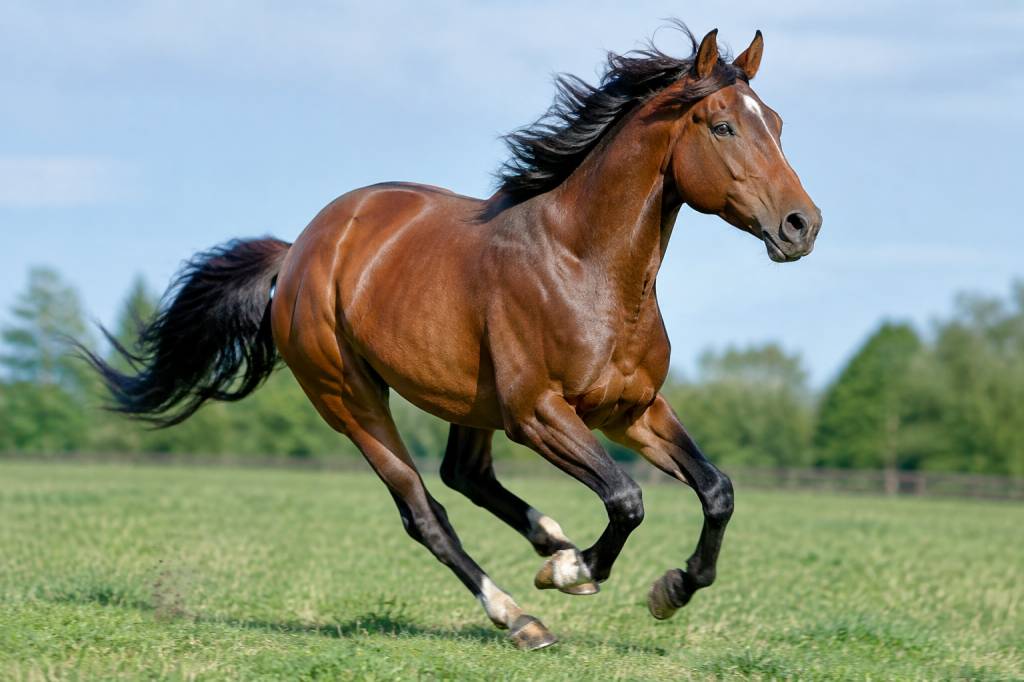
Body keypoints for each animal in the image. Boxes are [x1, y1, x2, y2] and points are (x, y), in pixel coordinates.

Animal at [82, 25, 821, 650]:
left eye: (779, 124)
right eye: (723, 125)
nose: (801, 225)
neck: (586, 267)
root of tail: (298, 253)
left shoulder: (631, 410)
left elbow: (717, 490)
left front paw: (668, 589)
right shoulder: (539, 414)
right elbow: (626, 499)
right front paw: (574, 574)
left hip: (471, 402)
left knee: (464, 475)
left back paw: (549, 542)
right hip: (351, 400)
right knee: (426, 511)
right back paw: (521, 615)